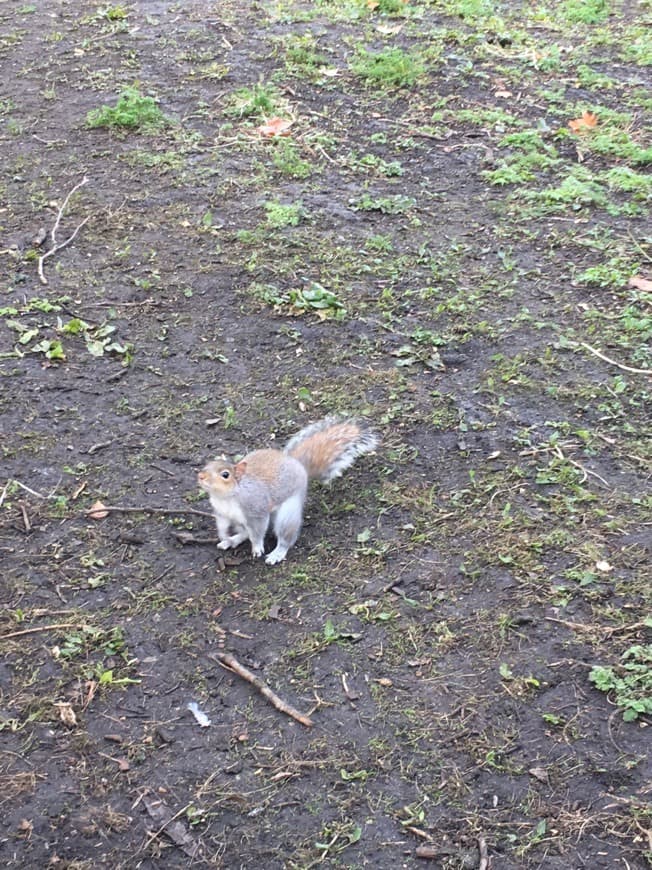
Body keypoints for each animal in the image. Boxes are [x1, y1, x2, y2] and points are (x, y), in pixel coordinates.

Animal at [197, 418, 376, 568]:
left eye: (225, 475)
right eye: (207, 465)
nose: (201, 476)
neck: (227, 498)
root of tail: (299, 465)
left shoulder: (256, 509)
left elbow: (257, 532)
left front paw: (257, 548)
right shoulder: (222, 513)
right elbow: (223, 526)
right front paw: (224, 537)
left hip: (287, 514)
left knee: (285, 537)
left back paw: (277, 553)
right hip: (240, 522)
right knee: (244, 533)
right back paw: (231, 541)